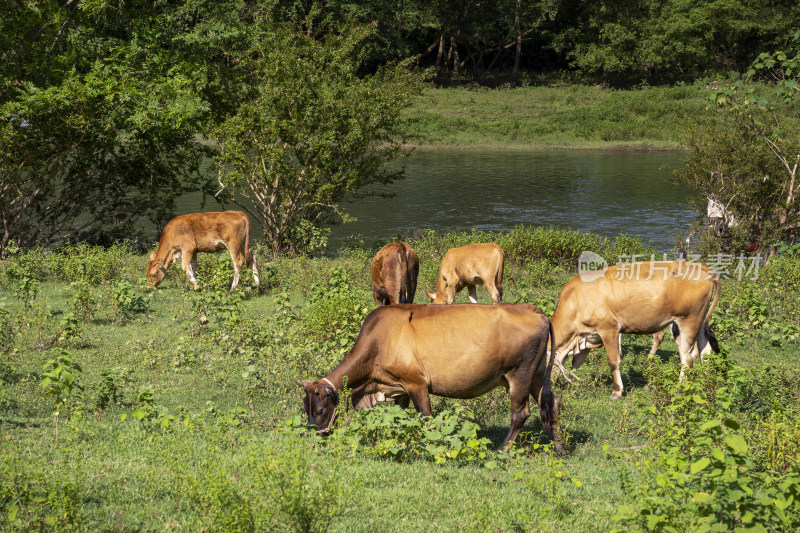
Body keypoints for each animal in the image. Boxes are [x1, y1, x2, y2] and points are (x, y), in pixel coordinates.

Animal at [296, 302, 564, 450]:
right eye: (305, 409)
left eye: (319, 410)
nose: (317, 435)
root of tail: (537, 312)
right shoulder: (398, 389)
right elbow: (399, 419)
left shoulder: (416, 383)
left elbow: (426, 419)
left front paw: (431, 445)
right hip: (538, 374)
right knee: (551, 406)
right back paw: (559, 448)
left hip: (520, 373)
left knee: (521, 414)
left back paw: (502, 450)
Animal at [552, 260, 720, 396]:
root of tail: (702, 267)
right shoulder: (587, 336)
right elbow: (576, 361)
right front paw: (570, 383)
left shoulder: (609, 329)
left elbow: (613, 361)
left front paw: (617, 391)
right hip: (699, 321)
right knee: (705, 351)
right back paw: (706, 381)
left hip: (688, 321)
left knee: (688, 357)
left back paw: (679, 389)